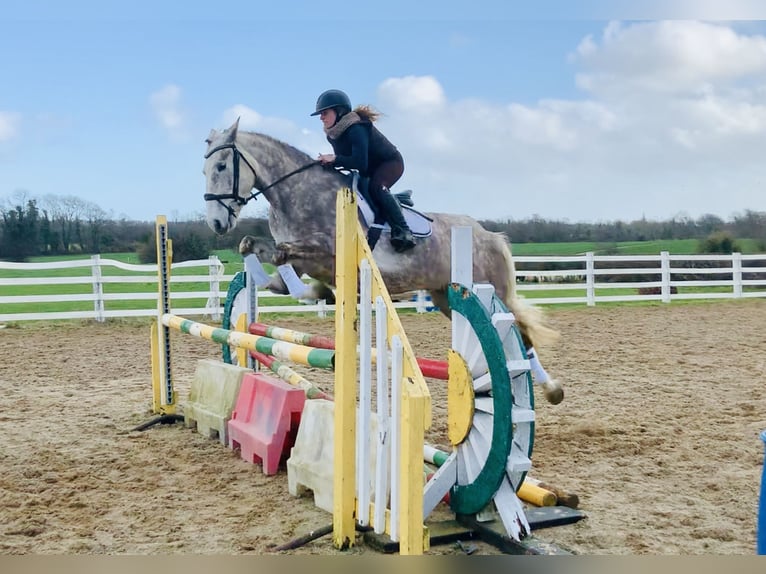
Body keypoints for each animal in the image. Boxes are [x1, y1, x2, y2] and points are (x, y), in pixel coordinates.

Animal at [204, 118, 564, 404]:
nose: (216, 224)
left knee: (521, 339)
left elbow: (283, 256)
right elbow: (258, 254)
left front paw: (319, 292)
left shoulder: (327, 251)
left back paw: (550, 390)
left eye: (221, 167)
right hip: (445, 298)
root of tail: (489, 235)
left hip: (489, 294)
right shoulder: (302, 260)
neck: (295, 193)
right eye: (205, 170)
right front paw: (317, 292)